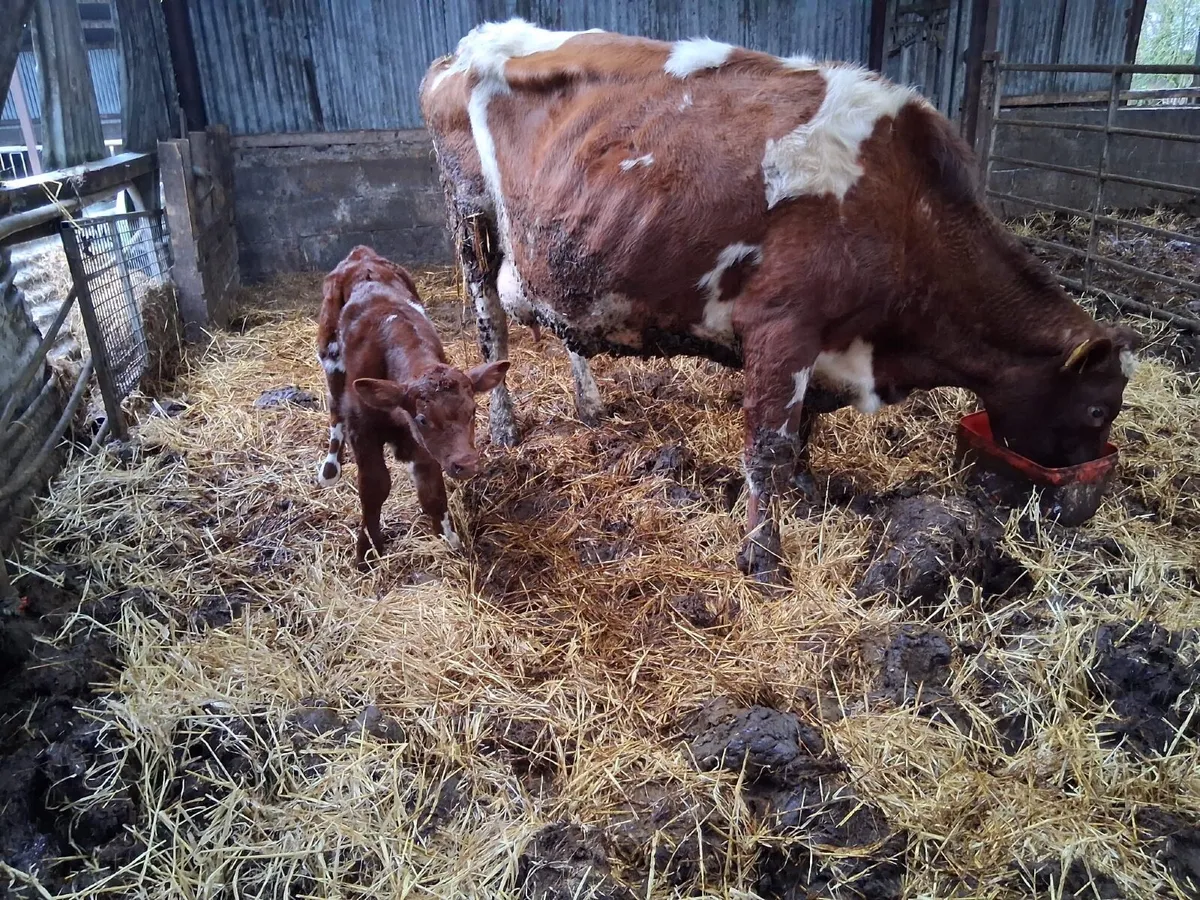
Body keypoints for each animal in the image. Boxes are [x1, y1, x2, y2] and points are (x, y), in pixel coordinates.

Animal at [315, 245, 510, 568]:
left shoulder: (424, 446)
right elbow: (374, 487)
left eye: (472, 412)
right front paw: (367, 550)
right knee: (333, 406)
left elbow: (431, 491)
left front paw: (449, 540)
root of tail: (360, 253)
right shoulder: (362, 429)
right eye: (422, 419)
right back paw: (330, 469)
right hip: (328, 353)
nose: (467, 464)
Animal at [419, 20, 1138, 583]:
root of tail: (462, 48)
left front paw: (809, 496)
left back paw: (588, 402)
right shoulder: (782, 325)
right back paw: (504, 427)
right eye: (1097, 408)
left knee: (559, 317)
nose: (1080, 492)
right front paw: (764, 558)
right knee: (491, 328)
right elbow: (768, 447)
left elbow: (801, 434)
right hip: (470, 217)